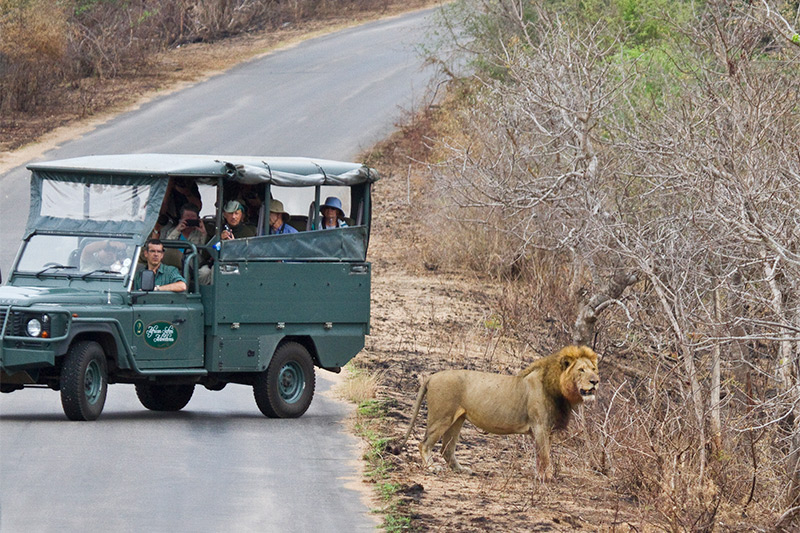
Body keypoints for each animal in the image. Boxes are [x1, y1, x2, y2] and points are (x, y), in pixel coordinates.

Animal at [396, 342, 596, 480]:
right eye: (581, 370)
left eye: (594, 369)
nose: (595, 381)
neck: (559, 389)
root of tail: (432, 376)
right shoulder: (540, 426)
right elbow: (545, 455)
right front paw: (546, 478)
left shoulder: (547, 430)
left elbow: (542, 455)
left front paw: (542, 475)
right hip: (441, 417)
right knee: (424, 444)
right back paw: (432, 468)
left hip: (457, 419)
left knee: (447, 449)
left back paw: (461, 470)